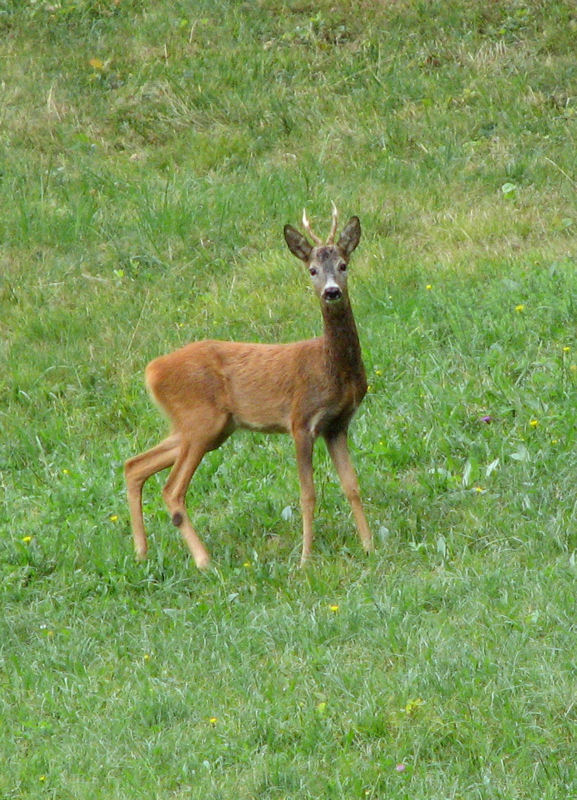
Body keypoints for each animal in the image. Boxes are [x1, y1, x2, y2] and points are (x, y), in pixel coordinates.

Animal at [123, 206, 372, 568]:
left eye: (343, 264)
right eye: (311, 269)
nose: (331, 292)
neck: (331, 367)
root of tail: (151, 370)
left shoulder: (337, 424)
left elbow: (351, 485)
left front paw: (369, 546)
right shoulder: (301, 420)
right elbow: (307, 493)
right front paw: (305, 558)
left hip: (206, 428)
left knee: (134, 465)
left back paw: (141, 553)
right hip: (201, 421)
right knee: (171, 489)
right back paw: (204, 561)